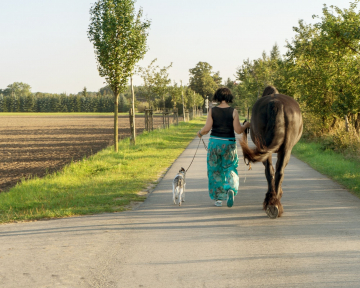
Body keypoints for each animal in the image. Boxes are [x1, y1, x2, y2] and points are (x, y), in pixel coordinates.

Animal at [240, 85, 302, 218]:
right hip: (285, 149)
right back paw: (274, 202)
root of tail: (275, 103)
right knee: (278, 171)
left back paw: (272, 203)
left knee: (271, 171)